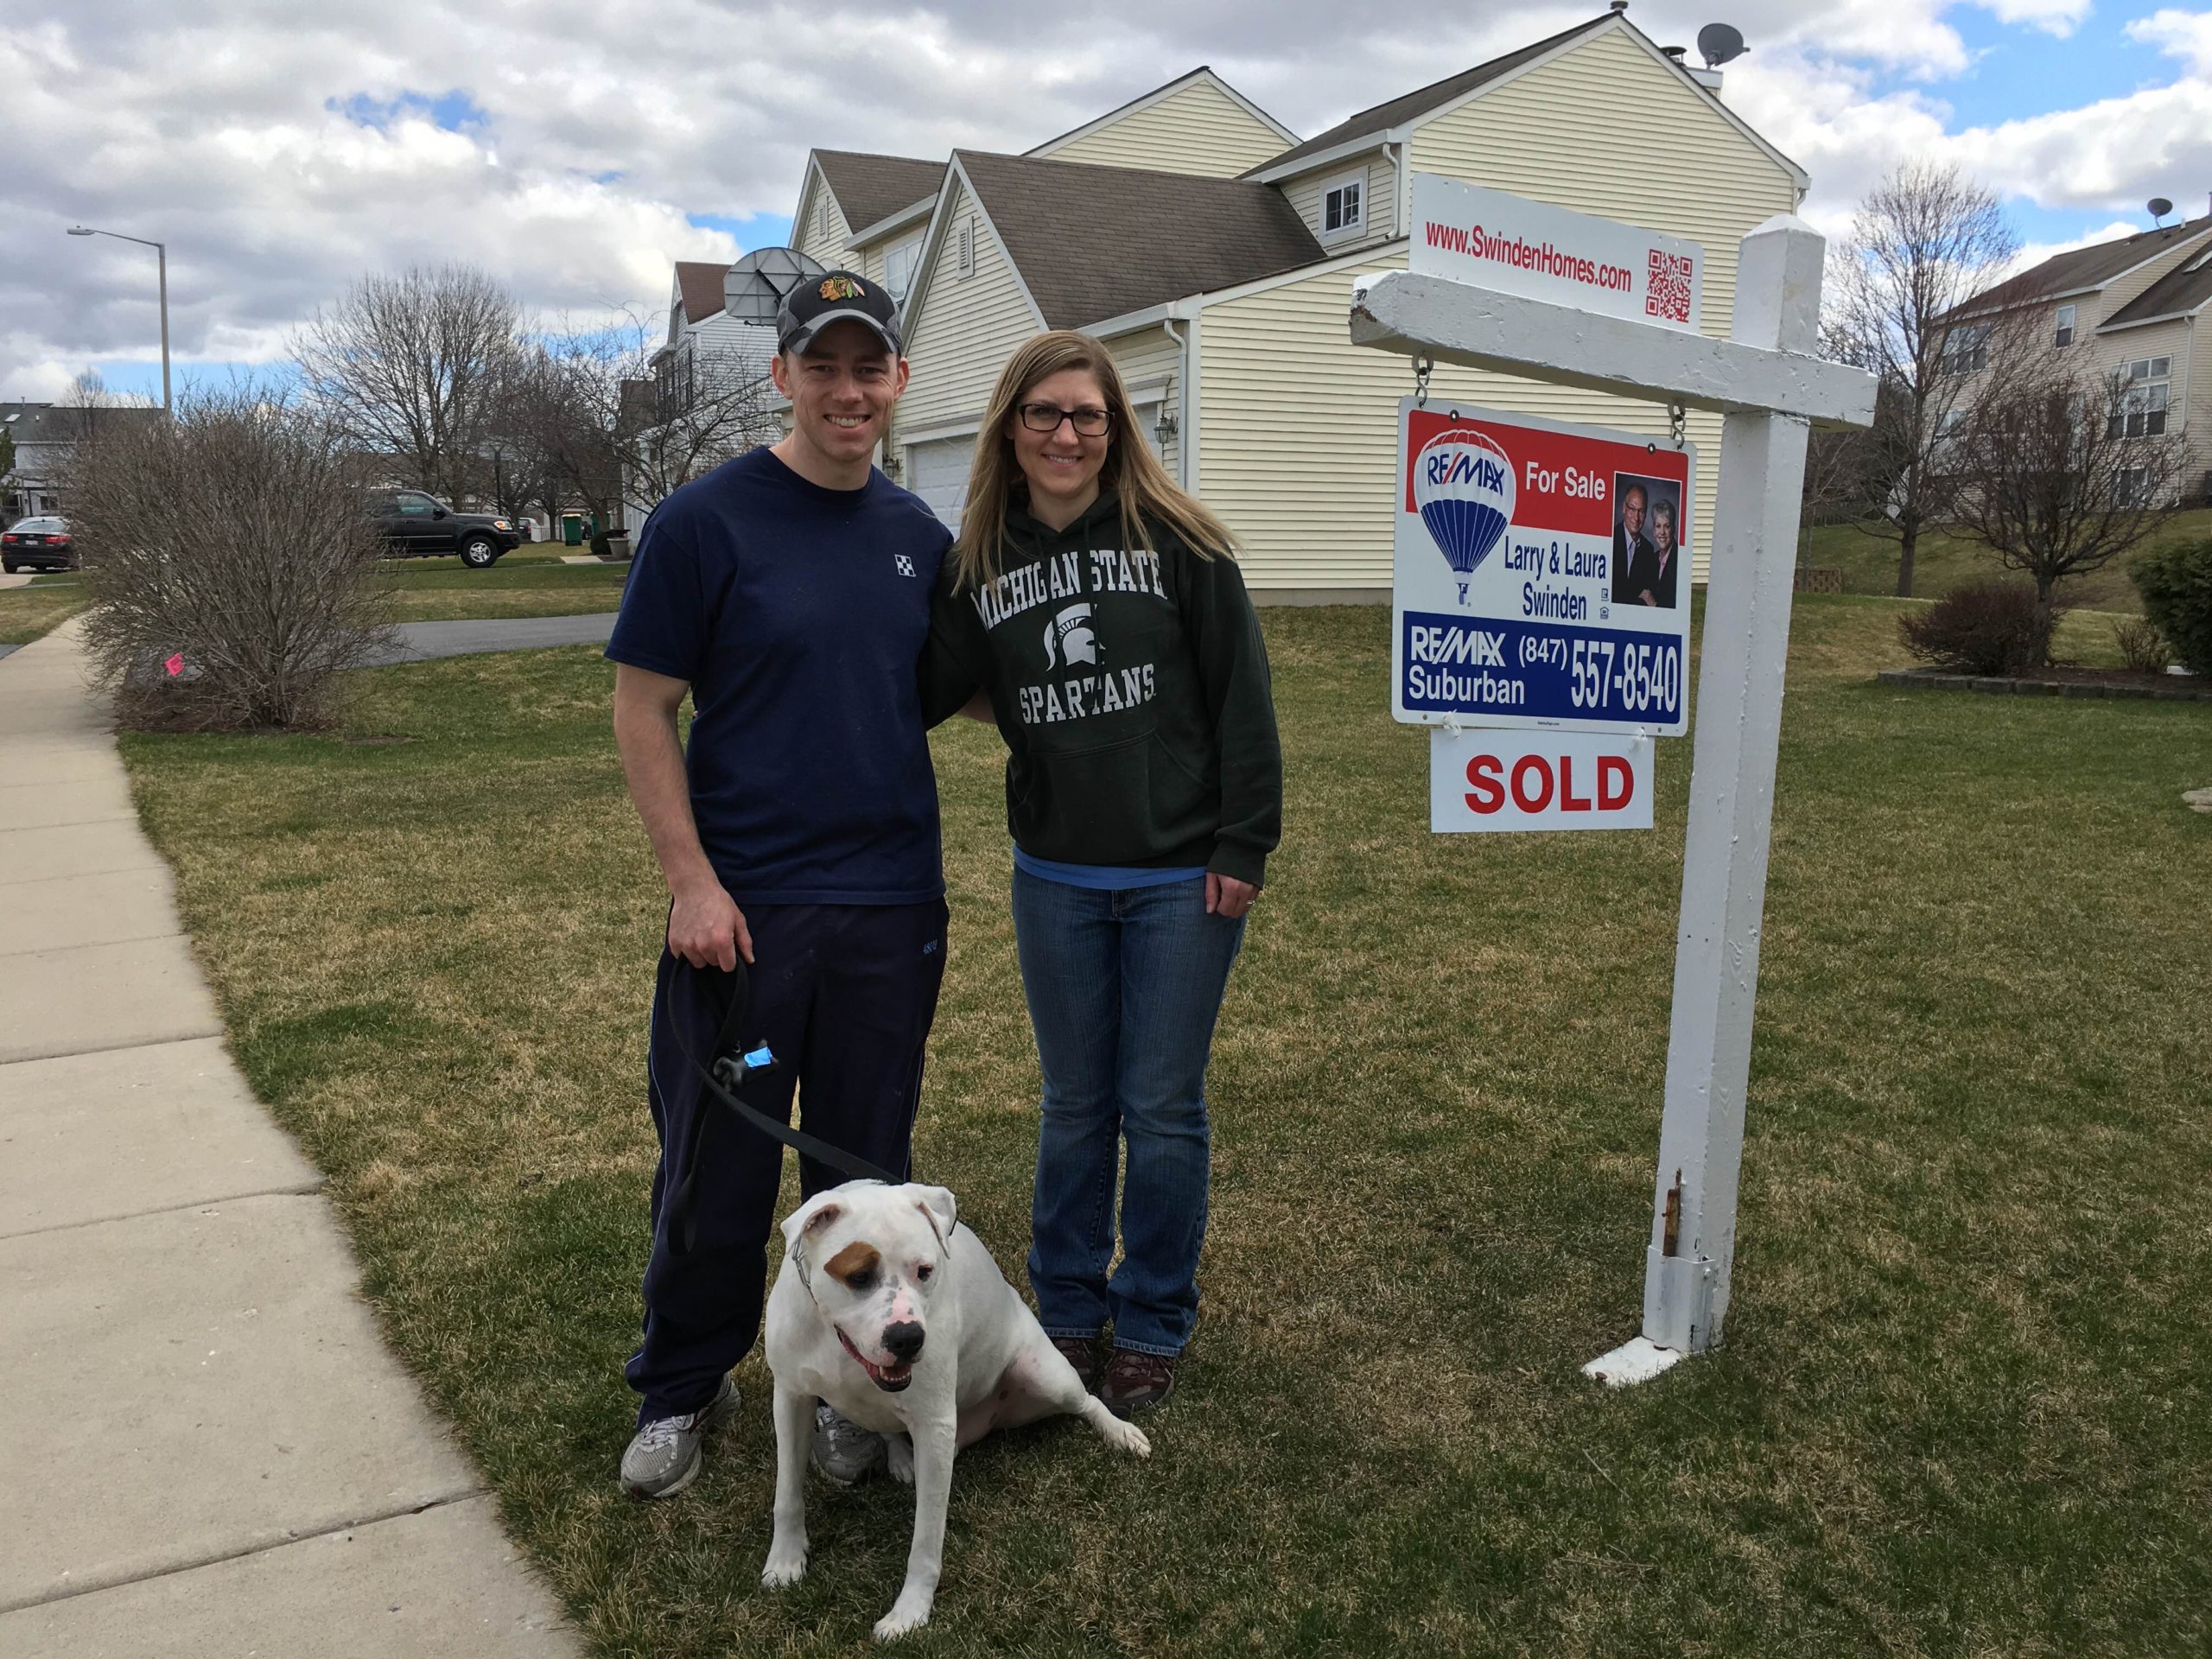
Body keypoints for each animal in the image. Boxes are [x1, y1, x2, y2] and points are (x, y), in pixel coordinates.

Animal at [760, 1185, 1150, 1645]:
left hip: (1046, 1376)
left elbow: (925, 1540)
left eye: (925, 1271)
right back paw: (901, 1458)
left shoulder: (933, 1428)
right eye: (858, 1276)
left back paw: (1121, 1433)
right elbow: (787, 1494)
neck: (838, 1341)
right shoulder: (791, 1398)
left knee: (1087, 1401)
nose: (908, 1338)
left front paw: (910, 1611)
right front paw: (786, 1561)